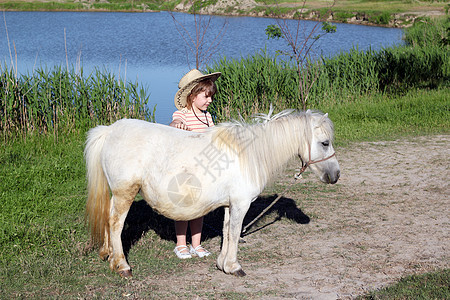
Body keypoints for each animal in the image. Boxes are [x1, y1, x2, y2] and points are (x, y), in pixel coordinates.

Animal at [84, 109, 340, 278]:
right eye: (325, 143)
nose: (335, 175)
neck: (248, 155)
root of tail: (109, 131)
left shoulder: (229, 204)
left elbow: (227, 232)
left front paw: (222, 264)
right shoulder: (241, 204)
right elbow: (235, 233)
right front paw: (234, 267)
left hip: (116, 194)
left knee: (107, 217)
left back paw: (108, 254)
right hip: (125, 193)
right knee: (115, 223)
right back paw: (122, 265)